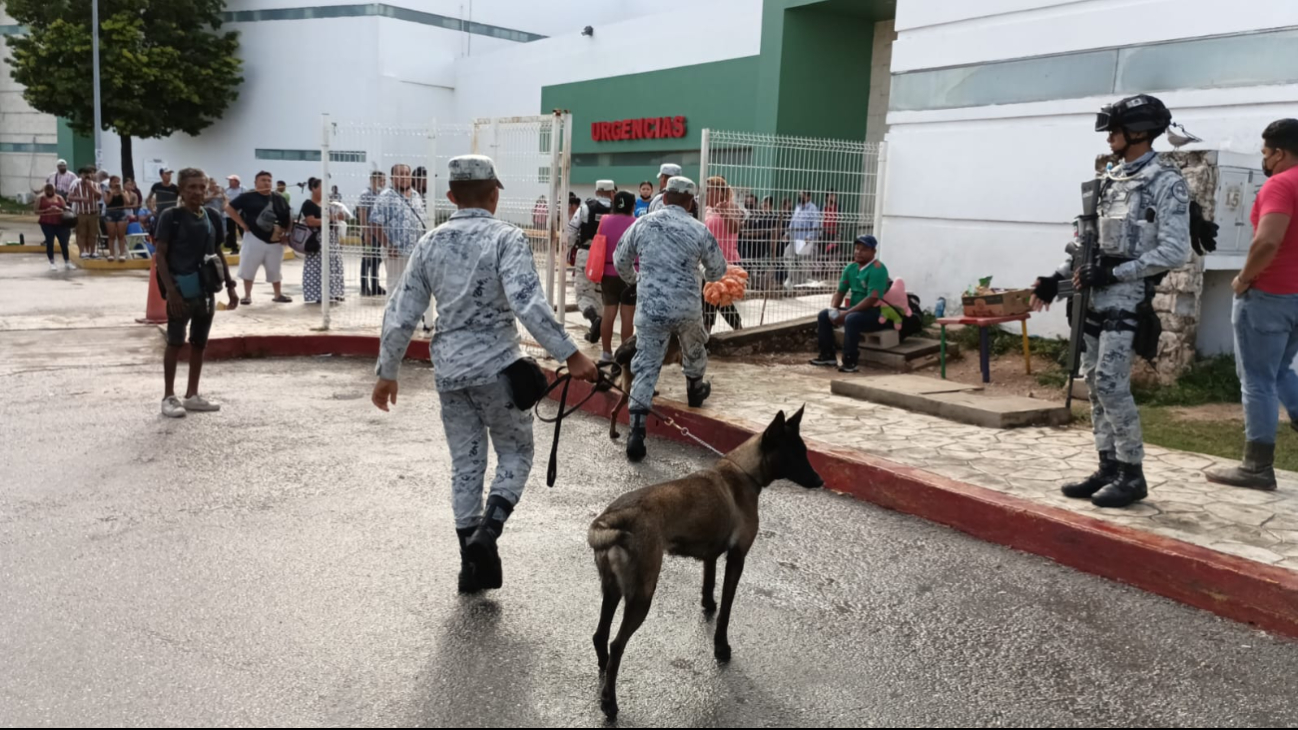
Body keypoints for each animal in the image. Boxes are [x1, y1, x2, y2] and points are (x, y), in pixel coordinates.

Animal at [589, 405, 820, 717]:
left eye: (804, 451)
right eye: (795, 454)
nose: (820, 481)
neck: (741, 472)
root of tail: (613, 517)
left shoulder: (711, 553)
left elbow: (709, 582)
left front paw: (708, 604)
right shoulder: (737, 557)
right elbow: (727, 610)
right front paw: (721, 647)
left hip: (612, 590)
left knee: (600, 635)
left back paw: (602, 675)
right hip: (641, 596)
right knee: (616, 644)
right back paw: (609, 703)